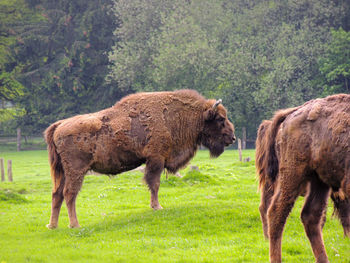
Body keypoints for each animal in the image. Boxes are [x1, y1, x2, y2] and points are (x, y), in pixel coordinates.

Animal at [44, 90, 235, 229]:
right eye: (220, 118)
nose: (232, 138)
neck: (174, 116)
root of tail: (59, 125)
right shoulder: (156, 159)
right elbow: (154, 183)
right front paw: (157, 207)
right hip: (76, 170)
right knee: (69, 194)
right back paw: (75, 225)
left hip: (63, 172)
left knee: (57, 194)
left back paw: (53, 226)